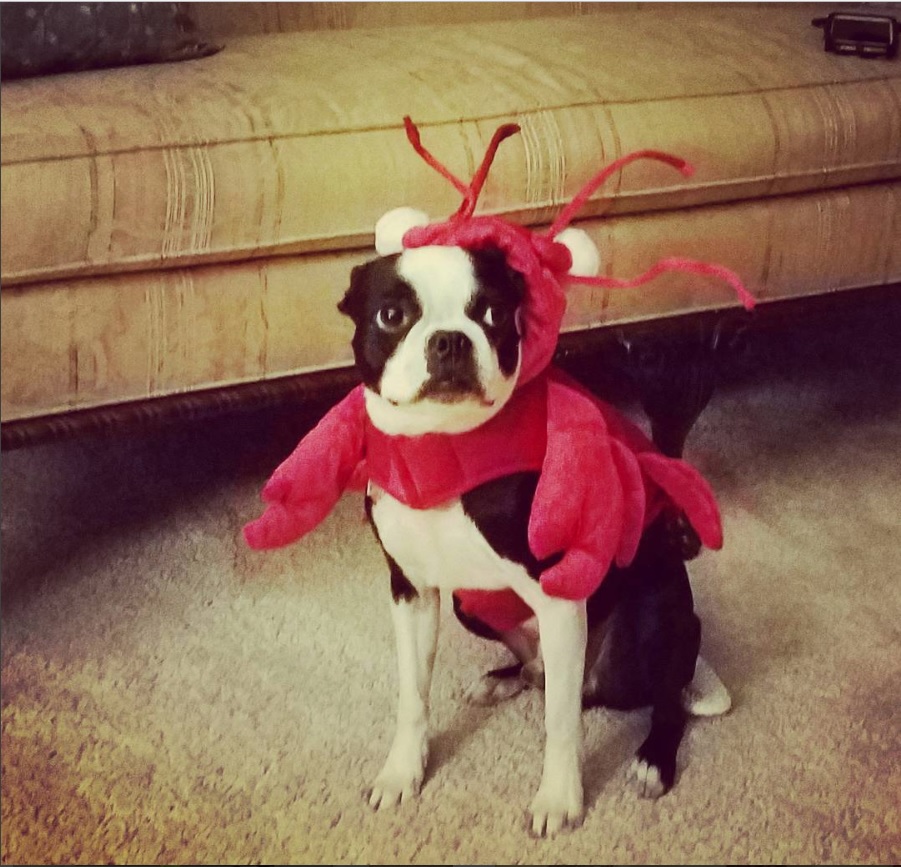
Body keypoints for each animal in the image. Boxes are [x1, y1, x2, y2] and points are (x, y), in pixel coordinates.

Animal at [338, 242, 732, 836]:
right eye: (391, 316)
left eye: (495, 314)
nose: (450, 339)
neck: (444, 452)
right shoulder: (411, 591)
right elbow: (413, 694)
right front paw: (403, 771)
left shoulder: (561, 595)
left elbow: (561, 724)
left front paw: (559, 800)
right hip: (471, 606)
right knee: (544, 675)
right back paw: (504, 678)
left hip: (651, 625)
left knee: (660, 698)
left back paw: (652, 762)